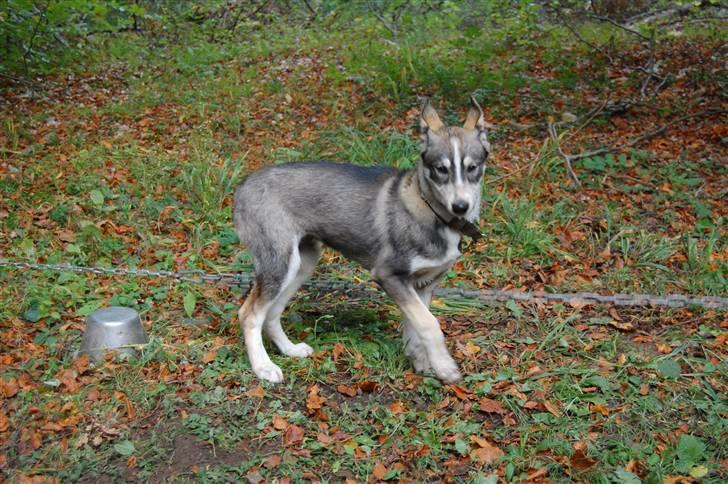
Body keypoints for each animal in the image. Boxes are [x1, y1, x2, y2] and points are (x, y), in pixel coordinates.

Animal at [233, 96, 492, 382]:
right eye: (441, 169)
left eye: (472, 168)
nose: (461, 207)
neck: (431, 211)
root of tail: (244, 185)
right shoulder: (389, 275)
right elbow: (429, 324)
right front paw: (445, 367)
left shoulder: (423, 284)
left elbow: (416, 328)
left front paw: (422, 363)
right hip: (279, 264)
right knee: (249, 314)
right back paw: (263, 367)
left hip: (302, 263)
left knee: (272, 312)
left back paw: (289, 350)